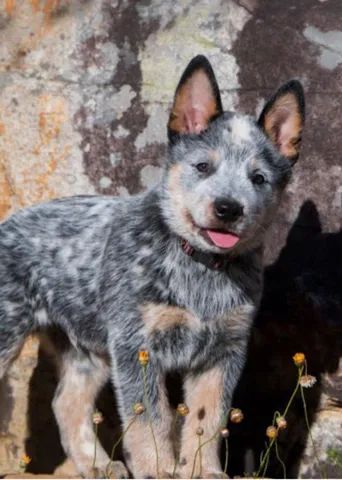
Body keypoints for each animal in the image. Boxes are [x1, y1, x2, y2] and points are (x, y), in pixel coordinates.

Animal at [0, 55, 304, 476]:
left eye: (258, 178)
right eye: (202, 167)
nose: (228, 208)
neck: (200, 268)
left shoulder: (224, 351)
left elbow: (207, 419)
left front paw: (203, 471)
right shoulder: (137, 347)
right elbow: (150, 420)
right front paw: (158, 470)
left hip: (86, 350)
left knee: (67, 403)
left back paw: (97, 466)